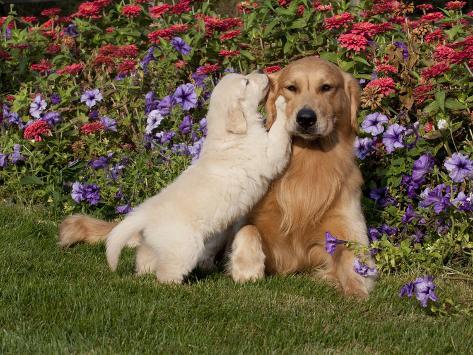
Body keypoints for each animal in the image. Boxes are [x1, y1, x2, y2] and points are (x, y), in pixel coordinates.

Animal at [106, 73, 292, 284]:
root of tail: (147, 211)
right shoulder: (269, 156)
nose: (265, 75)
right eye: (246, 82)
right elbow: (279, 135)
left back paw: (142, 273)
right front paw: (282, 104)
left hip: (157, 244)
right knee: (165, 274)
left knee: (144, 256)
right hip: (184, 247)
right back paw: (177, 285)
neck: (232, 133)